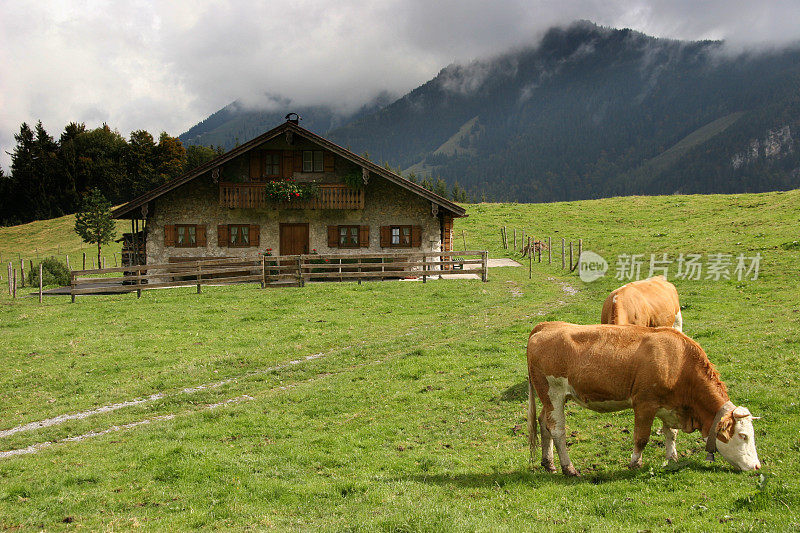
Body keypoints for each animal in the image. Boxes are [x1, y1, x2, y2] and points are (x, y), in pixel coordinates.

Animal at [524, 320, 764, 474]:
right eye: (743, 436)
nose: (757, 466)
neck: (678, 363)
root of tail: (545, 325)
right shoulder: (644, 404)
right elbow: (641, 438)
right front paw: (635, 464)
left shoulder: (670, 407)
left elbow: (671, 433)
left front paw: (672, 458)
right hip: (553, 393)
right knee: (557, 430)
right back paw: (568, 468)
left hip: (549, 399)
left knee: (544, 423)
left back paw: (548, 463)